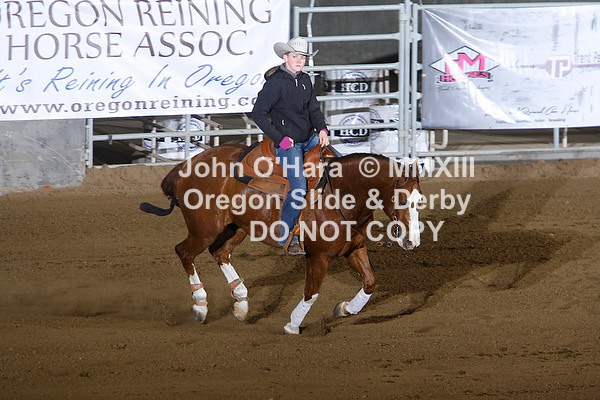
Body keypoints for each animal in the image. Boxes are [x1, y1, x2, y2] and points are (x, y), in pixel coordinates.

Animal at [140, 143, 422, 334]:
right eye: (401, 199)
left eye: (420, 200)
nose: (412, 242)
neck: (340, 193)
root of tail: (186, 165)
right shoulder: (317, 257)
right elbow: (311, 293)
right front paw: (293, 324)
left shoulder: (355, 248)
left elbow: (370, 283)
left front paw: (344, 309)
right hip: (204, 229)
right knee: (184, 252)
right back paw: (200, 306)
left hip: (237, 227)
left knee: (219, 252)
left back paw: (241, 302)